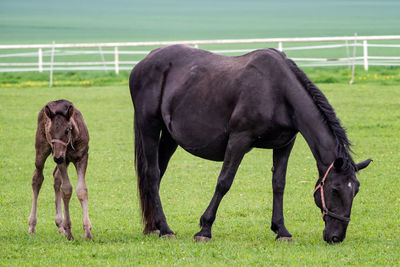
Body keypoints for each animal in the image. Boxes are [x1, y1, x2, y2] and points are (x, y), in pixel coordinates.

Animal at [130, 45, 374, 244]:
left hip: (169, 136)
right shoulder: (239, 140)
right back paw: (165, 229)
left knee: (157, 174)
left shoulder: (285, 145)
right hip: (149, 126)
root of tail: (144, 62)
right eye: (335, 189)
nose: (336, 237)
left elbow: (279, 184)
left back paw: (155, 226)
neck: (277, 92)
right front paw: (205, 229)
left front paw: (281, 230)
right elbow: (224, 182)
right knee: (152, 174)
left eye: (356, 190)